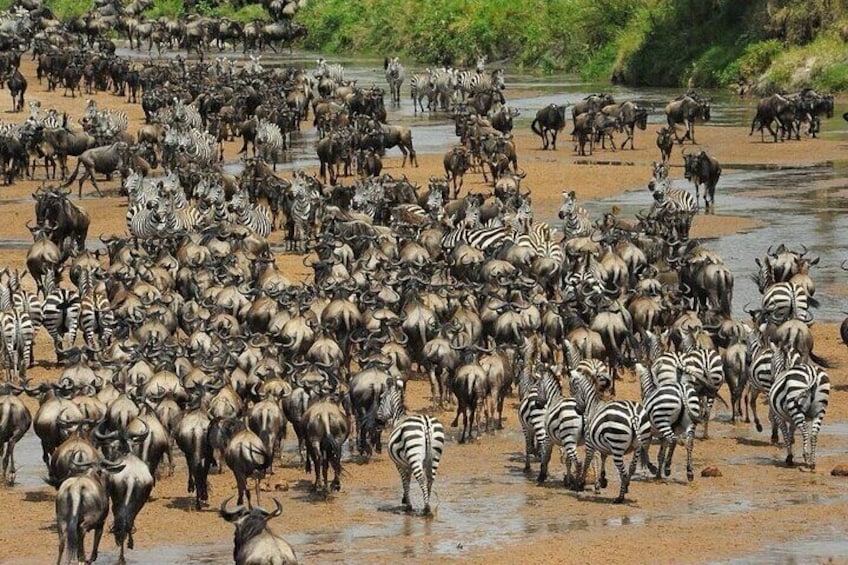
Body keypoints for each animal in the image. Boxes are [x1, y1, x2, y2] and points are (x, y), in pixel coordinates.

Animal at [376, 376, 448, 512]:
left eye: (381, 398)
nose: (377, 419)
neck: (398, 418)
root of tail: (426, 422)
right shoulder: (409, 463)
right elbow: (408, 480)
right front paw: (405, 499)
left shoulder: (399, 464)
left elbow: (405, 481)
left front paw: (407, 503)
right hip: (435, 455)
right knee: (430, 478)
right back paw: (427, 502)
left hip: (415, 454)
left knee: (421, 479)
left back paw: (426, 508)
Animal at [568, 370, 652, 502]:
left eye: (572, 387)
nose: (577, 410)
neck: (592, 405)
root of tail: (633, 414)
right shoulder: (602, 442)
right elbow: (603, 457)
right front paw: (602, 479)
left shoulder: (589, 442)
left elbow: (588, 461)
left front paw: (581, 483)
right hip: (638, 445)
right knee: (632, 468)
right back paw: (626, 486)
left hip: (617, 446)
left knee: (623, 472)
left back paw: (620, 498)